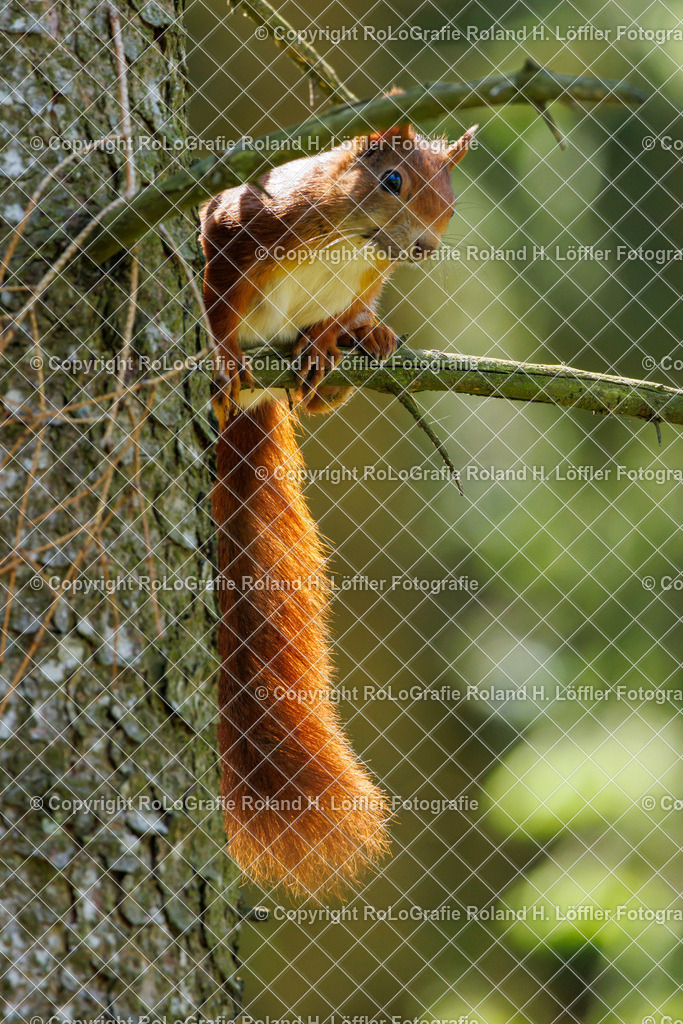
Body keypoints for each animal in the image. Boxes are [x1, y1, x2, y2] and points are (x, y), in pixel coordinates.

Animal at [200, 121, 476, 898]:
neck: (351, 240)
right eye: (391, 181)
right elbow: (214, 288)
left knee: (333, 380)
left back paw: (363, 342)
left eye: (451, 197)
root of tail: (260, 401)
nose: (425, 245)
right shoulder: (246, 221)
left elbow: (334, 317)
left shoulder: (365, 281)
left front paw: (328, 341)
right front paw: (222, 351)